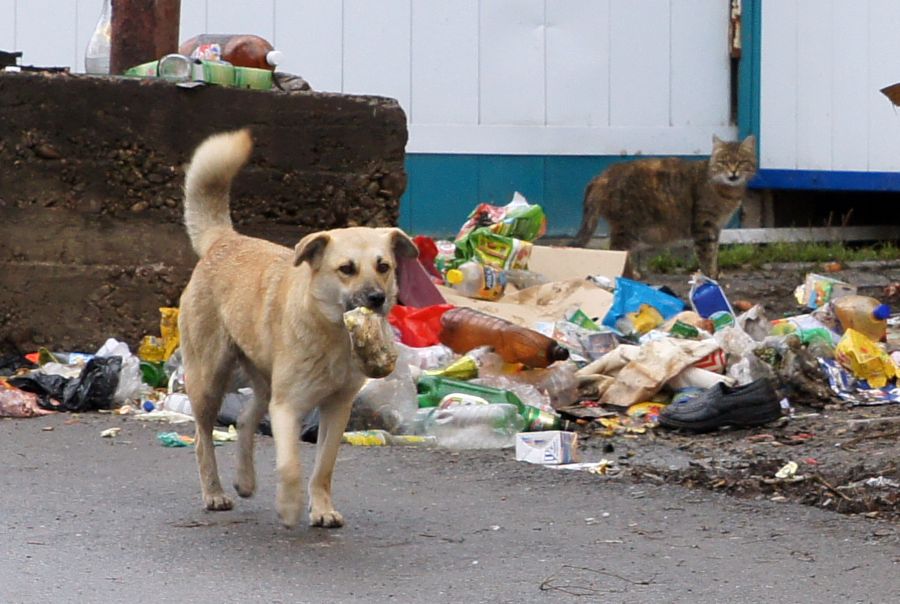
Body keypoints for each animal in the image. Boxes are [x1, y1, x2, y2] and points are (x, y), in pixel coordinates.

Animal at [179, 130, 418, 528]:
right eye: (347, 269)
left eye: (383, 266)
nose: (377, 298)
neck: (335, 336)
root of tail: (225, 240)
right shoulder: (288, 406)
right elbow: (290, 464)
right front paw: (290, 506)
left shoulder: (336, 408)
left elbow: (323, 467)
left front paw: (320, 508)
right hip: (209, 379)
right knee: (202, 438)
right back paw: (214, 492)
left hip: (264, 381)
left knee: (245, 419)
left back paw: (245, 480)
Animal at [572, 135, 756, 278]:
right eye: (723, 162)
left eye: (741, 162)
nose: (733, 171)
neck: (727, 192)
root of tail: (602, 176)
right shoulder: (704, 226)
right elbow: (706, 256)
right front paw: (709, 278)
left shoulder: (716, 228)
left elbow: (714, 254)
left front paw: (714, 275)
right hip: (626, 227)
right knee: (616, 252)